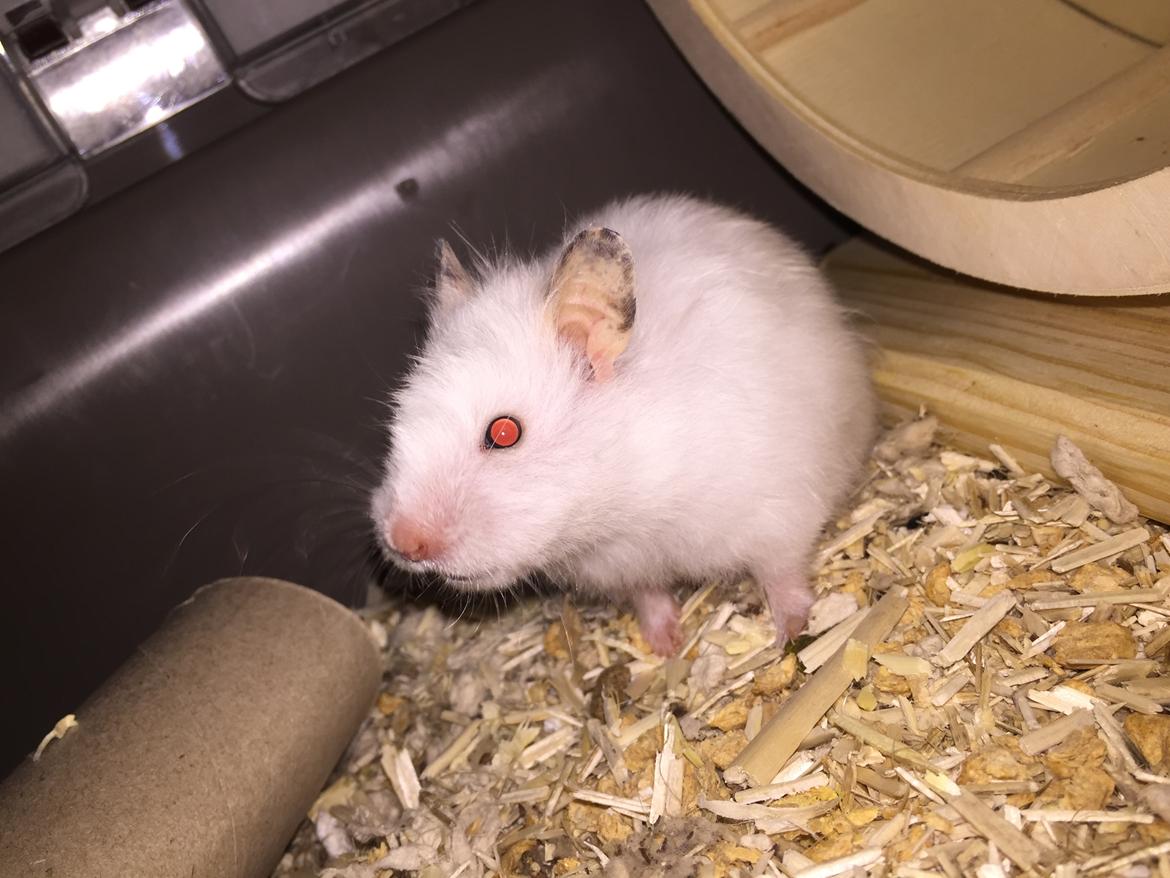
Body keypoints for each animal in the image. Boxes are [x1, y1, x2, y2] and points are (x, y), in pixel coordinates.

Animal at [371, 194, 876, 655]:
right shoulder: (622, 569)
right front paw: (665, 645)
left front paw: (793, 629)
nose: (402, 542)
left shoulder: (777, 514)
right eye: (397, 427)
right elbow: (649, 595)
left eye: (504, 433)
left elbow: (781, 572)